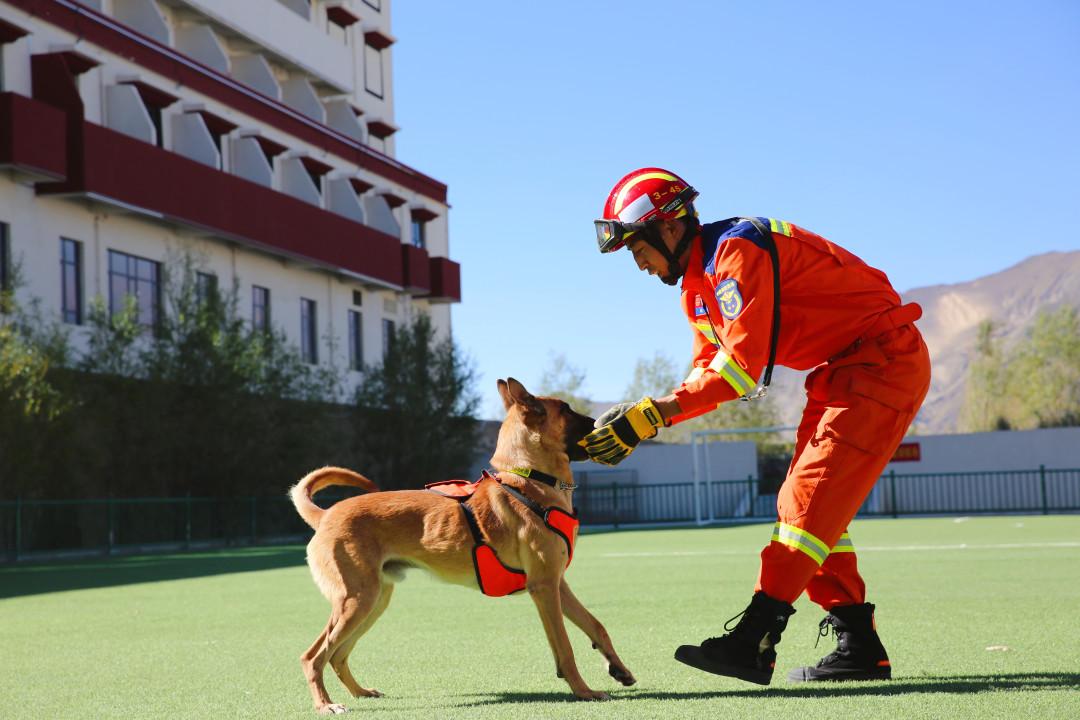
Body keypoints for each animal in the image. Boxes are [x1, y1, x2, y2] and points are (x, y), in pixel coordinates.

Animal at [291, 377, 635, 716]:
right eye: (565, 409)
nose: (600, 422)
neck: (529, 480)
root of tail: (325, 515)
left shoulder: (557, 584)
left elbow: (595, 625)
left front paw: (619, 669)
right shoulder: (544, 587)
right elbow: (565, 647)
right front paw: (584, 692)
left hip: (374, 601)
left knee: (337, 654)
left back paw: (361, 692)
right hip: (357, 600)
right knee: (313, 656)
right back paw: (326, 704)